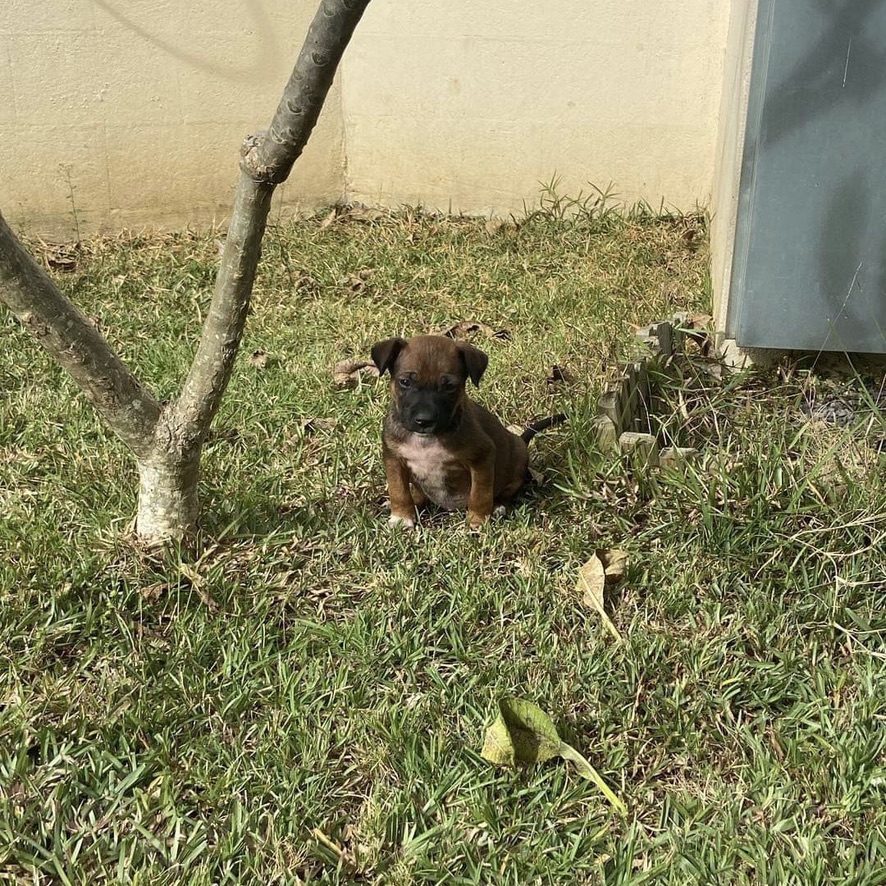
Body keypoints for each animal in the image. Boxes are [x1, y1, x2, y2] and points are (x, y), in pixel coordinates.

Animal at [372, 336, 532, 532]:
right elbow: (398, 490)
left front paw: (477, 520)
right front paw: (402, 516)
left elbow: (480, 493)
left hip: (519, 454)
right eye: (405, 382)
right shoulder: (394, 458)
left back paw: (498, 505)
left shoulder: (482, 456)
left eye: (449, 386)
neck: (426, 440)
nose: (424, 421)